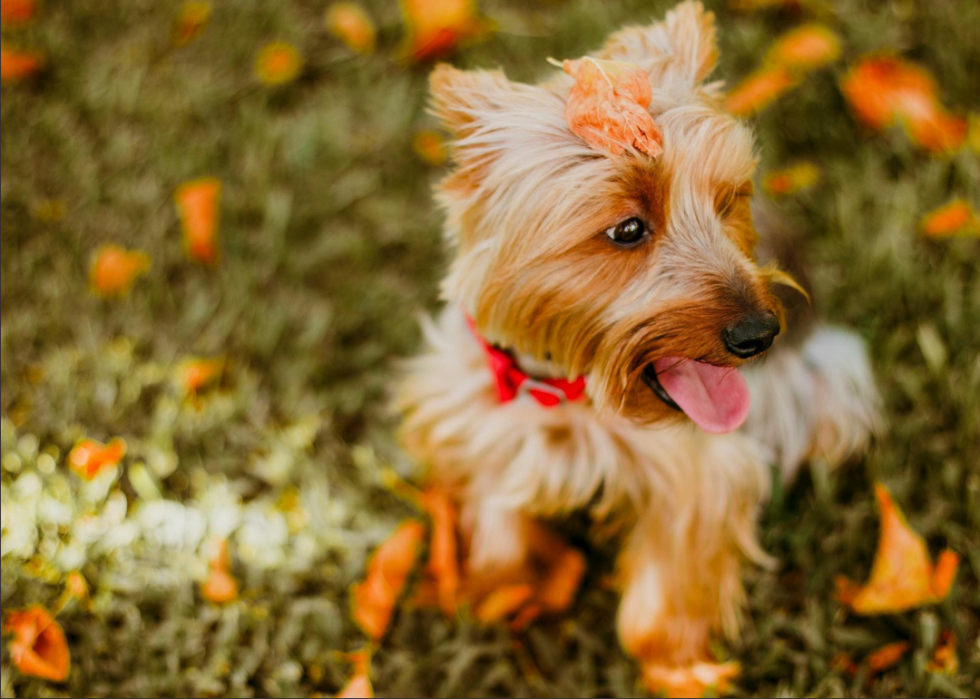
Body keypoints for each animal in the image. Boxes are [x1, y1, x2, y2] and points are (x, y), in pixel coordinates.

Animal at [394, 4, 876, 696]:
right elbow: (498, 515)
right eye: (627, 229)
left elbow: (671, 579)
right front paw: (501, 589)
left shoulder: (698, 473)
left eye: (728, 201)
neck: (568, 389)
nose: (760, 333)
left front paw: (679, 667)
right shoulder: (480, 408)